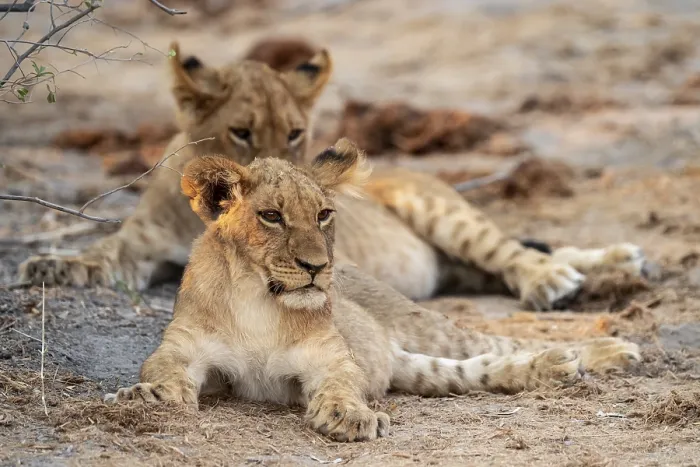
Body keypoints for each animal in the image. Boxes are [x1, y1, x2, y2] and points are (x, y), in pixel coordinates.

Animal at [19, 40, 648, 310]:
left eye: (297, 132)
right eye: (241, 132)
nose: (289, 179)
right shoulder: (139, 248)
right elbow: (100, 255)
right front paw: (50, 264)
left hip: (444, 213)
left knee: (517, 254)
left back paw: (566, 280)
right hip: (459, 266)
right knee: (517, 259)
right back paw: (621, 264)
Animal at [104, 139, 641, 442]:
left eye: (324, 214)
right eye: (271, 216)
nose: (318, 268)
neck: (259, 299)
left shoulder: (331, 359)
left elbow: (342, 386)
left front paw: (350, 418)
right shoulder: (184, 350)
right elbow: (164, 371)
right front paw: (148, 397)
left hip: (425, 317)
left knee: (501, 339)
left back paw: (612, 348)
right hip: (417, 365)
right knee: (477, 369)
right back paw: (554, 366)